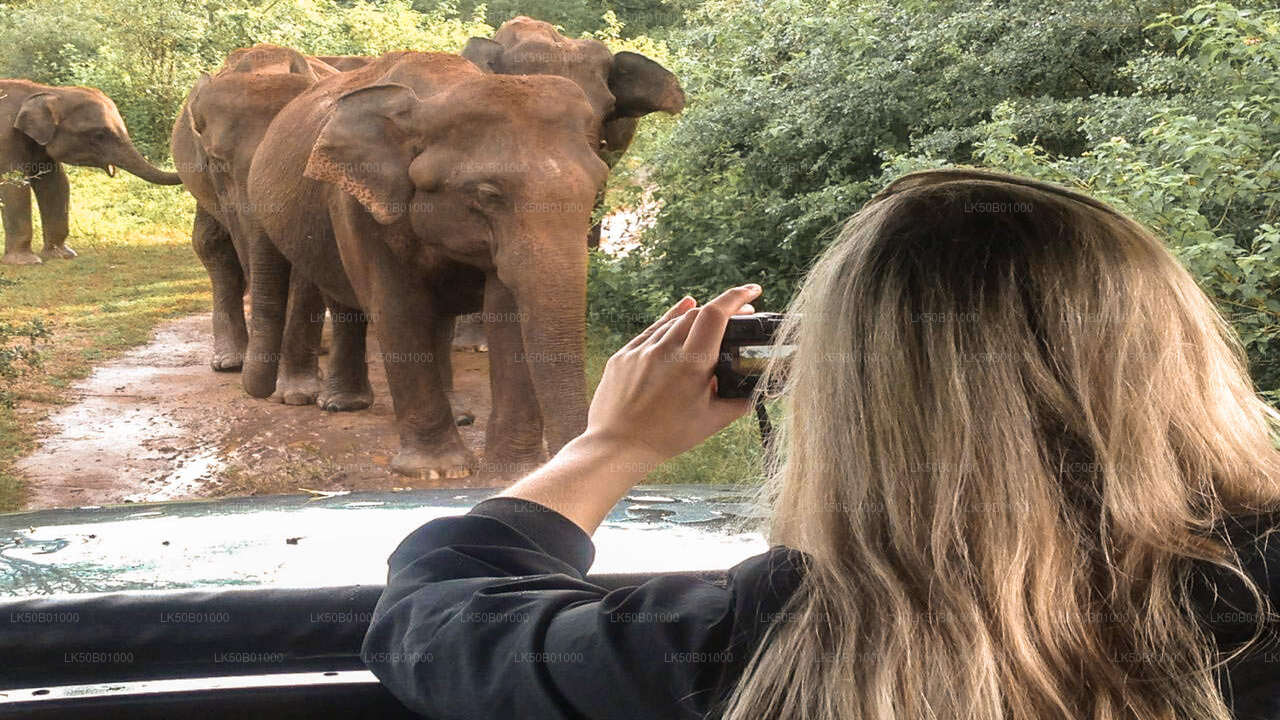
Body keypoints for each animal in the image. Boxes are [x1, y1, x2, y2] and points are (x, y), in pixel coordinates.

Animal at [0, 79, 183, 263]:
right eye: (99, 135)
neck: (48, 91)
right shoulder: (7, 139)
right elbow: (15, 186)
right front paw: (27, 262)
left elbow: (55, 184)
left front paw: (62, 255)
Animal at [250, 50, 614, 476]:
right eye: (488, 194)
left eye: (597, 187)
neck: (437, 95)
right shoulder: (358, 203)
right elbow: (397, 308)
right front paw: (438, 469)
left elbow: (506, 314)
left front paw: (512, 474)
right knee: (342, 300)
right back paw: (341, 404)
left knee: (436, 319)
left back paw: (459, 415)